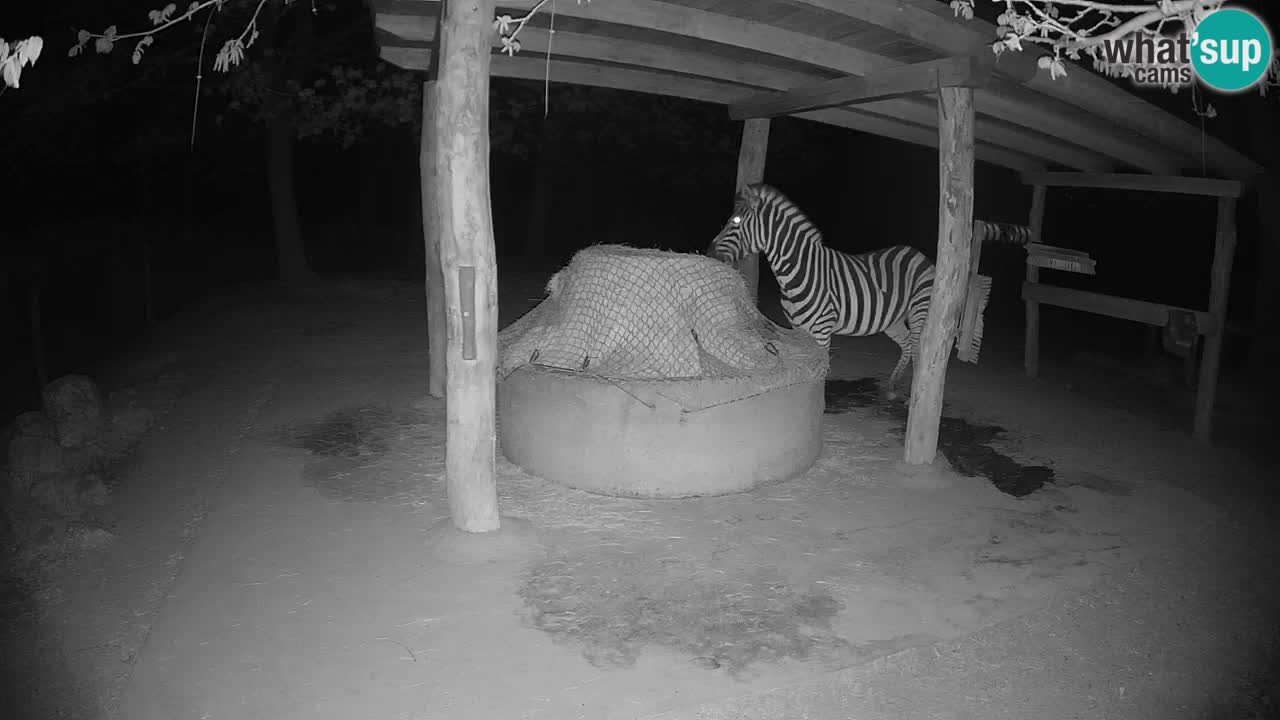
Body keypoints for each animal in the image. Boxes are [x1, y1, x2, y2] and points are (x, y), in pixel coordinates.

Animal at [706, 183, 1028, 400]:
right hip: (893, 319)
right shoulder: (799, 328)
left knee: (921, 350)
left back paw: (915, 395)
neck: (799, 269)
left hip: (919, 311)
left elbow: (821, 370)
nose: (709, 252)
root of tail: (919, 254)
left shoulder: (822, 330)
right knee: (907, 346)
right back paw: (892, 386)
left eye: (735, 221)